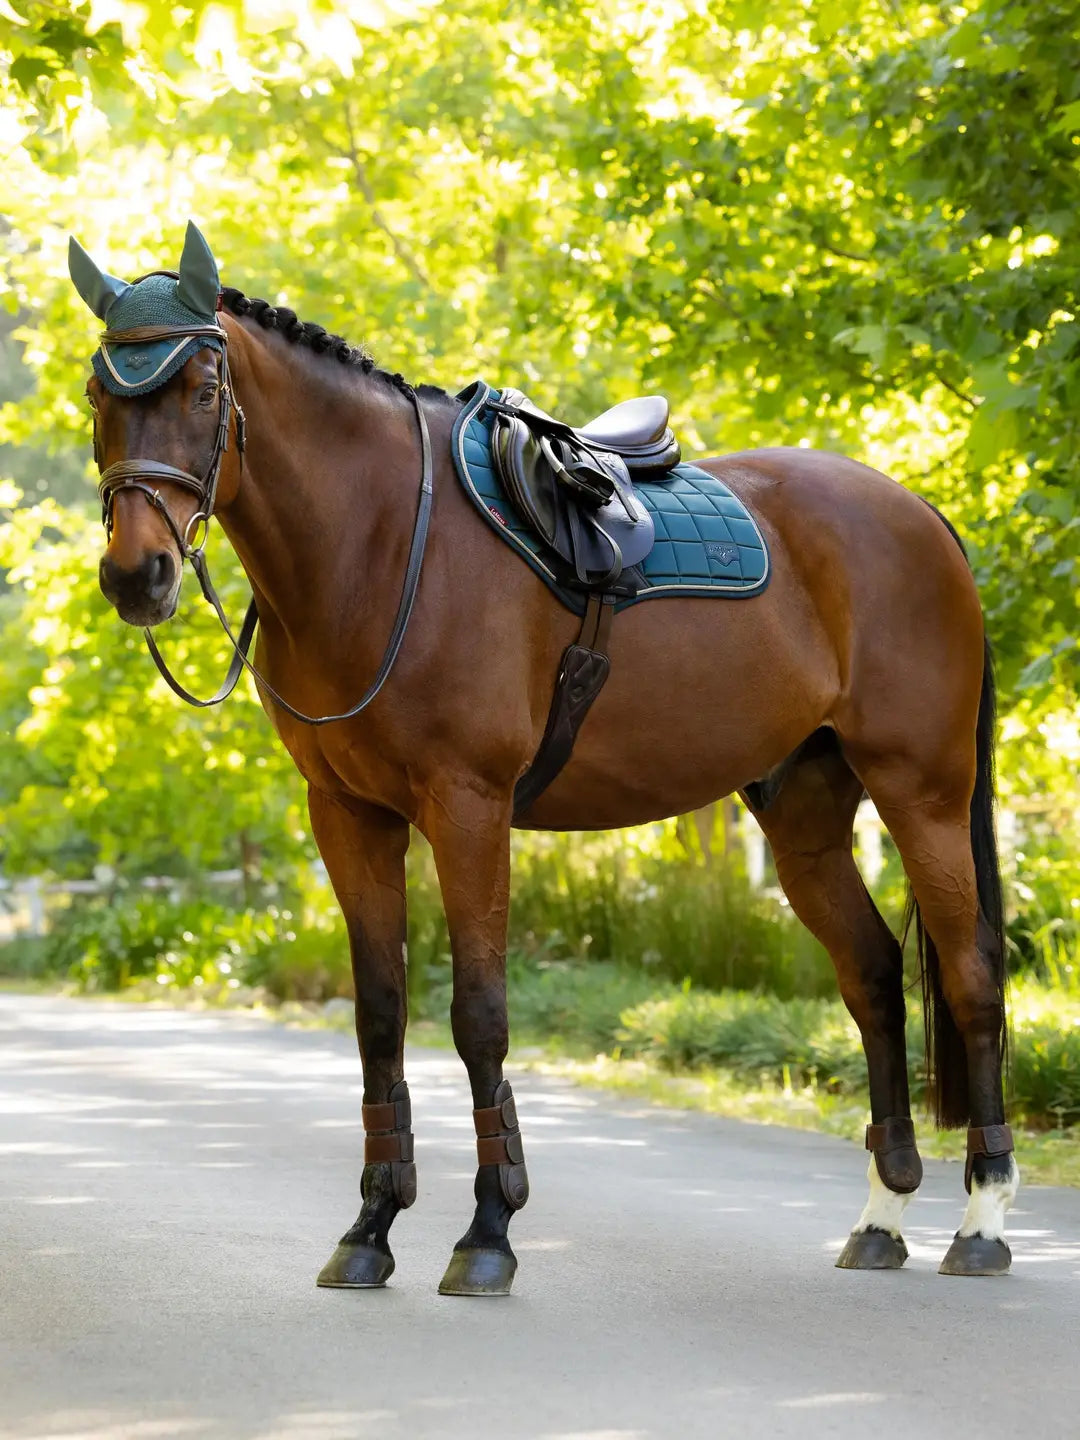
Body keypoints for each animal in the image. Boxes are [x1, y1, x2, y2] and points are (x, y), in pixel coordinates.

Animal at [68, 223, 1017, 1295]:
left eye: (200, 390)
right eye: (101, 393)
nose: (136, 575)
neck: (380, 541)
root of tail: (920, 516)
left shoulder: (469, 806)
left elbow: (478, 1013)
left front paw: (488, 1231)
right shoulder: (349, 815)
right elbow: (380, 1015)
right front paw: (370, 1229)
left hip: (921, 791)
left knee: (971, 973)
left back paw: (982, 1220)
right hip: (805, 813)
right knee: (872, 975)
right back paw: (883, 1216)